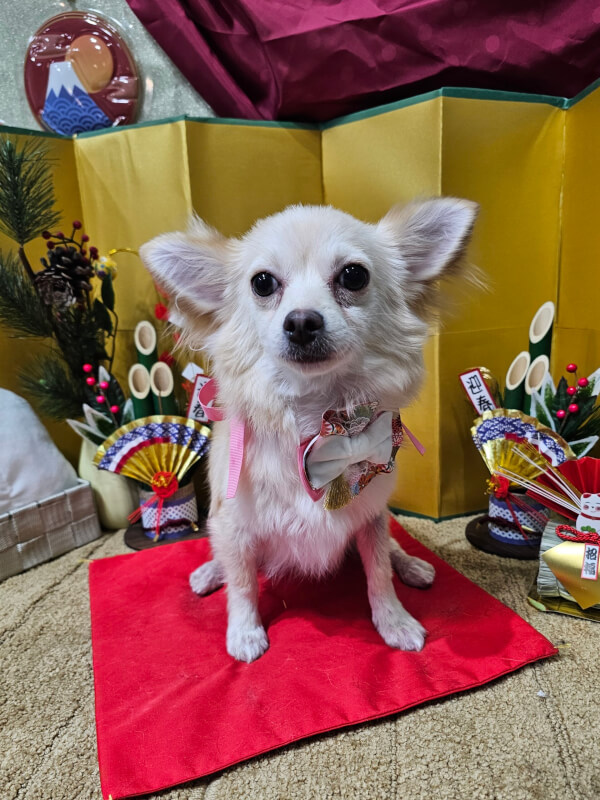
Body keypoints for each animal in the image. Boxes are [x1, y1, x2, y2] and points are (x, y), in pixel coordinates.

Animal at [141, 199, 477, 662]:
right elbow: (242, 582)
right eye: (262, 283)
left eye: (354, 275)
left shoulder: (369, 515)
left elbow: (377, 570)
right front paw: (244, 632)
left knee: (390, 551)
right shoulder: (236, 525)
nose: (301, 321)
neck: (315, 422)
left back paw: (410, 564)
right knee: (226, 559)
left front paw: (394, 621)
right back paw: (210, 572)